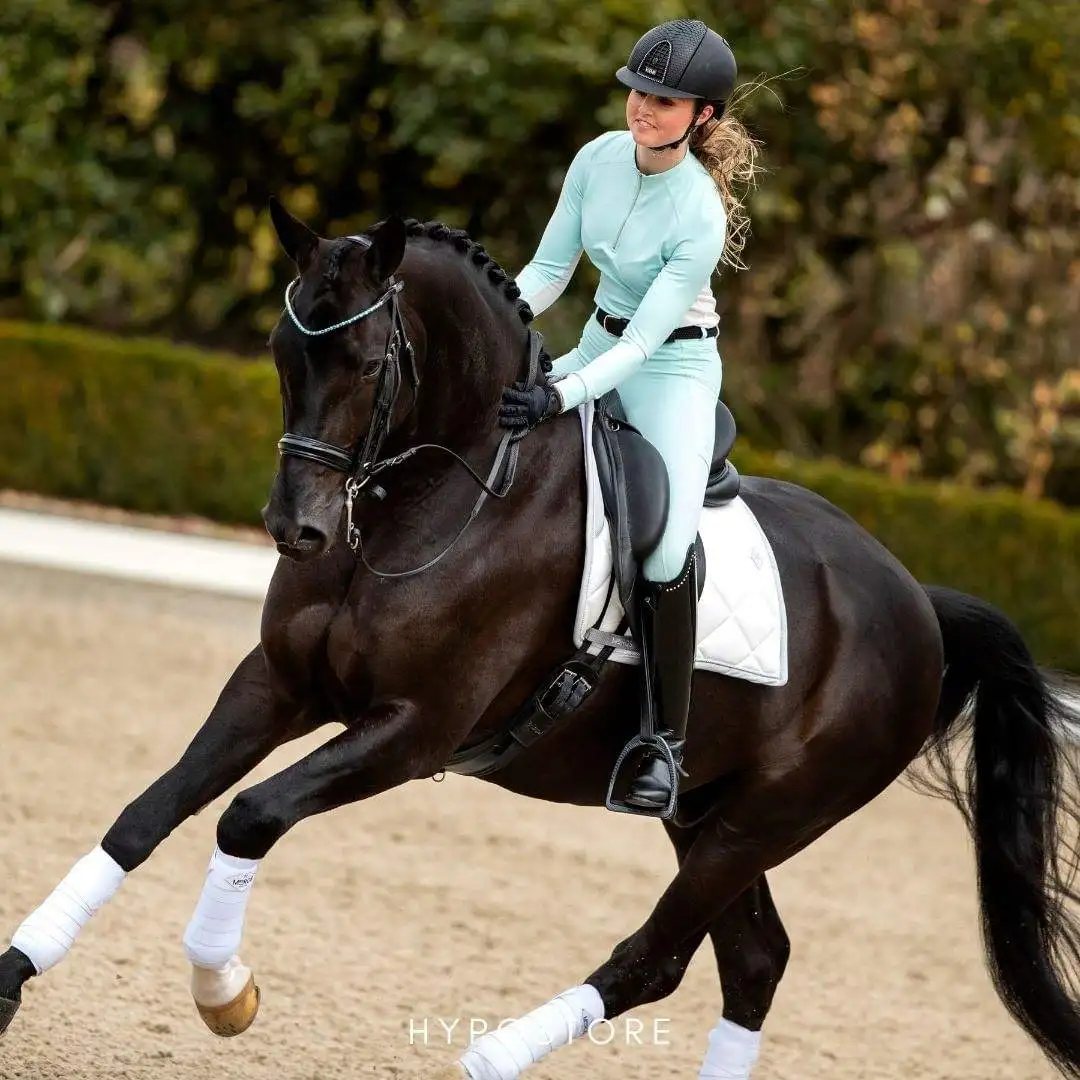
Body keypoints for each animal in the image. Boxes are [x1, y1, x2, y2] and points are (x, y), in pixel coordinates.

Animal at [2, 198, 1080, 1080]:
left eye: (369, 364)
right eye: (280, 352)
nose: (295, 528)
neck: (423, 505)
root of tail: (917, 603)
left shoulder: (413, 732)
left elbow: (249, 816)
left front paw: (225, 994)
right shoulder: (276, 684)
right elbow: (149, 813)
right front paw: (15, 977)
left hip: (761, 821)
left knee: (655, 960)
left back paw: (487, 1059)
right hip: (706, 812)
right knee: (754, 962)